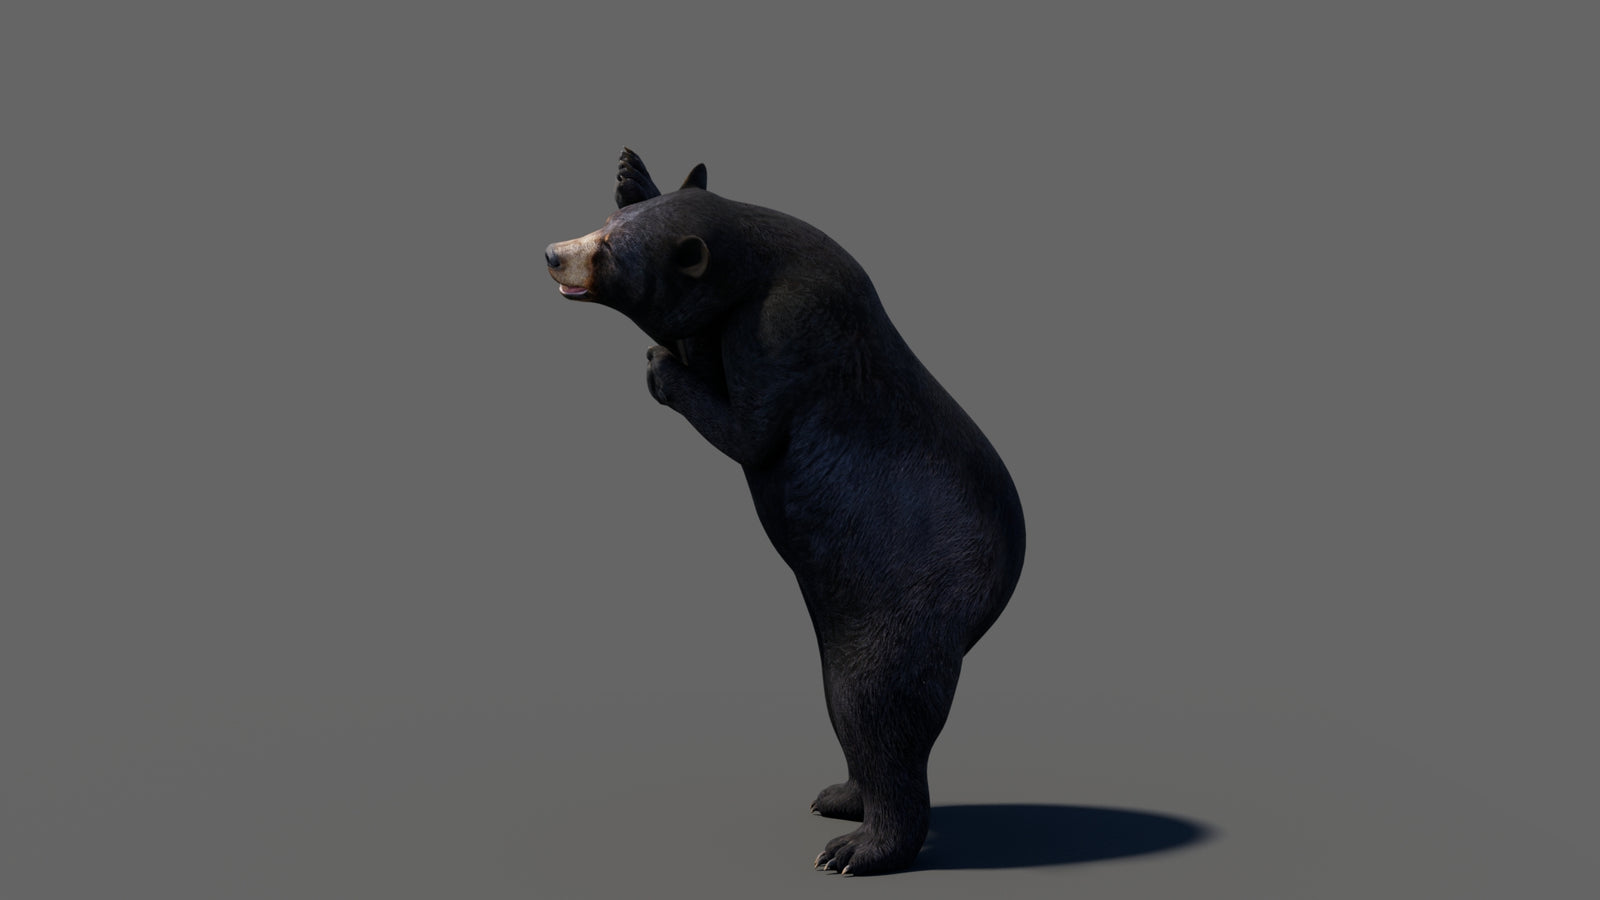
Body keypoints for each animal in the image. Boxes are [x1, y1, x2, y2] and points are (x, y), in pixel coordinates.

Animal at [544, 148, 1025, 875]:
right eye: (602, 224)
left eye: (607, 254)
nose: (552, 254)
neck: (765, 260)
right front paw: (634, 174)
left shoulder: (786, 325)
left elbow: (752, 429)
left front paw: (661, 368)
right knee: (848, 710)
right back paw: (843, 796)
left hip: (907, 608)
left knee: (877, 708)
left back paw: (861, 848)